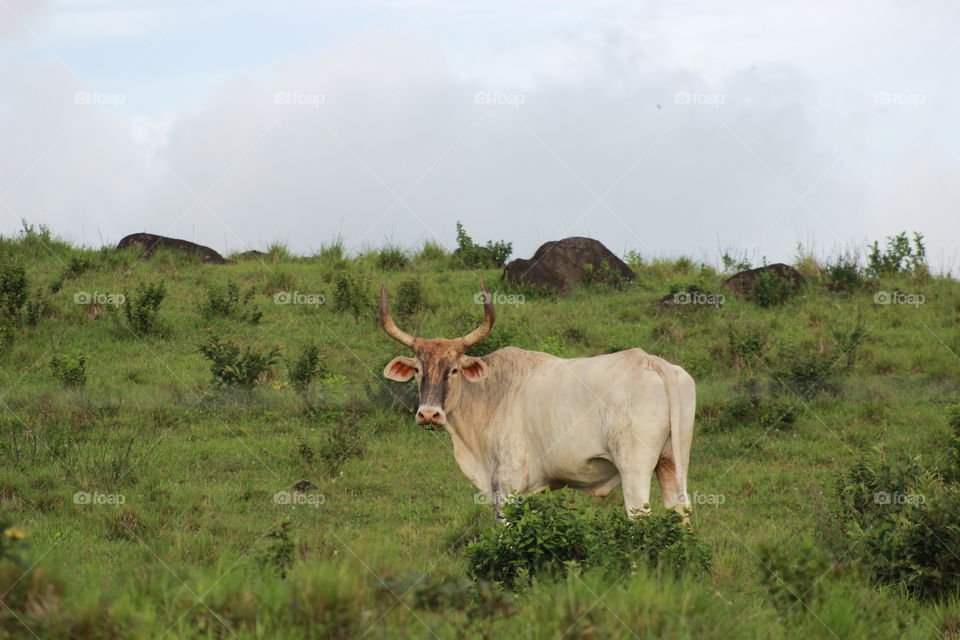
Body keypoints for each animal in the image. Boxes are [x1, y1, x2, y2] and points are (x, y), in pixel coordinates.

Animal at [378, 280, 692, 520]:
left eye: (453, 370)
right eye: (418, 370)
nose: (428, 414)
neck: (491, 392)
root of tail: (649, 361)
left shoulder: (506, 486)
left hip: (634, 468)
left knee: (639, 515)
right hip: (673, 462)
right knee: (681, 510)